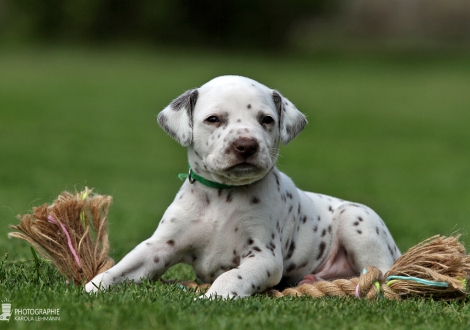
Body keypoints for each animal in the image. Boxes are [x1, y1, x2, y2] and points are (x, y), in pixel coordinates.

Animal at [85, 75, 400, 300]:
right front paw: (89, 289)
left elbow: (231, 277)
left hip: (357, 220)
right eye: (213, 119)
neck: (221, 195)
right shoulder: (161, 246)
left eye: (267, 120)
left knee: (382, 274)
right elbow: (122, 268)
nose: (246, 145)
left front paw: (211, 298)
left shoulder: (263, 256)